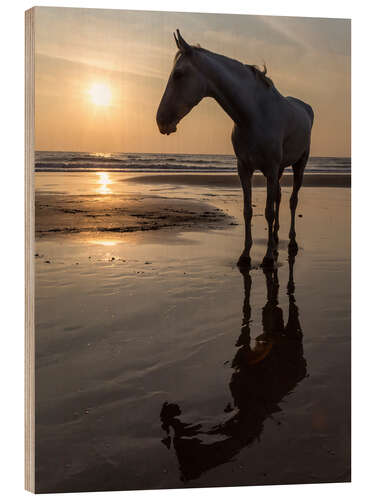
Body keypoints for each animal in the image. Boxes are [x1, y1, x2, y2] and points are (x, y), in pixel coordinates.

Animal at [156, 29, 314, 268]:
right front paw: (245, 255)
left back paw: (291, 242)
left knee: (292, 200)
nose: (161, 121)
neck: (254, 115)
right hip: (280, 170)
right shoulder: (244, 168)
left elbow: (267, 211)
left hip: (299, 165)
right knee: (278, 197)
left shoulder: (269, 169)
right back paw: (276, 238)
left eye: (178, 74)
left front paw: (268, 258)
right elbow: (248, 211)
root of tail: (306, 107)